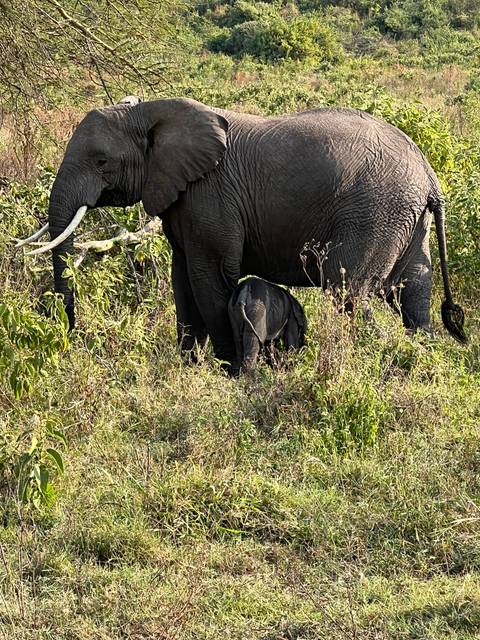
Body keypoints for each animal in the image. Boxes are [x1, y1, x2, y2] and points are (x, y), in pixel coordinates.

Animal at [18, 96, 466, 369]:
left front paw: (226, 371)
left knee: (349, 289)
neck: (150, 112)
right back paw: (426, 359)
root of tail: (429, 175)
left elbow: (211, 277)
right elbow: (183, 279)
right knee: (412, 288)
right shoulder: (185, 200)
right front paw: (190, 367)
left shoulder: (210, 196)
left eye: (101, 162)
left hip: (376, 212)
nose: (69, 334)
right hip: (405, 217)